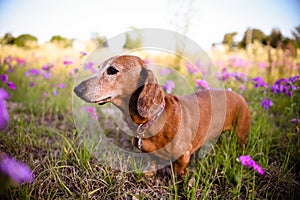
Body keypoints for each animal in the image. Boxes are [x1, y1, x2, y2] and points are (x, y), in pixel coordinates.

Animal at [73, 54, 251, 175]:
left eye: (112, 70)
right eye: (98, 68)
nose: (76, 89)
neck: (153, 120)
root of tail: (238, 95)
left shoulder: (183, 155)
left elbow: (179, 170)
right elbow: (152, 161)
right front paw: (149, 172)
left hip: (241, 134)